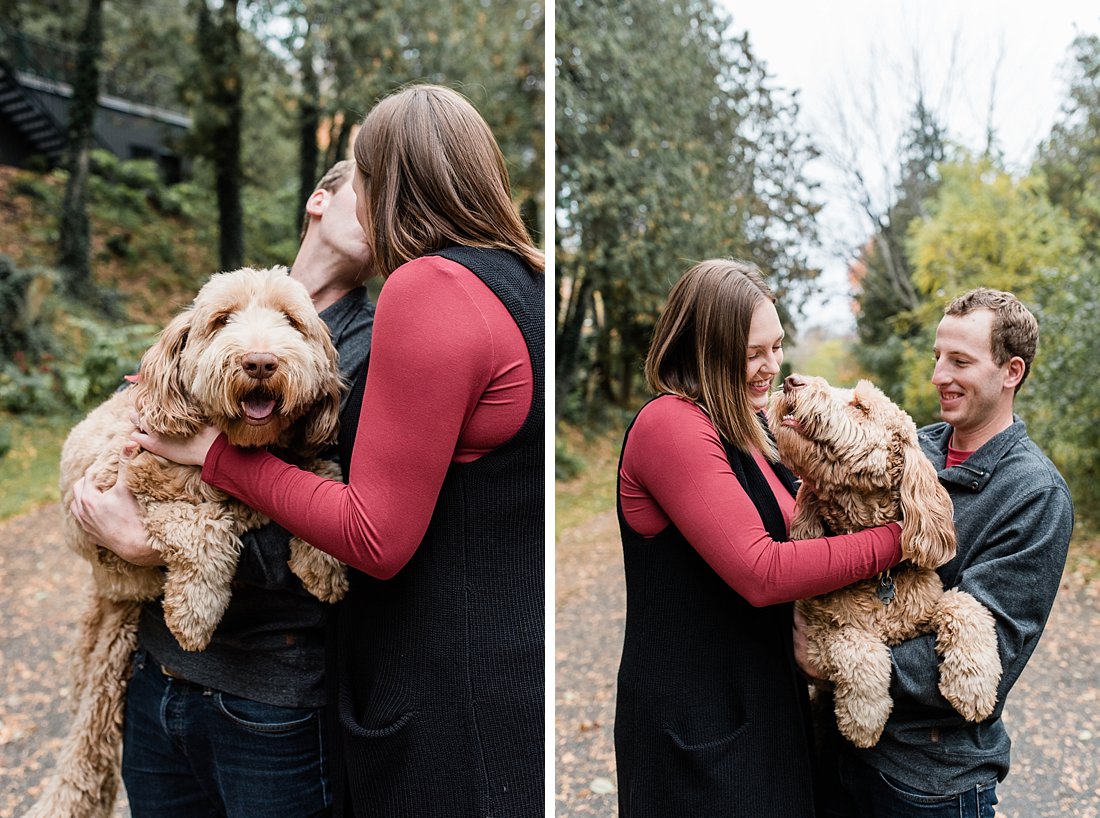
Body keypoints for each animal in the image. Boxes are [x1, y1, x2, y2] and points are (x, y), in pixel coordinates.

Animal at [27, 268, 347, 818]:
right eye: (221, 320)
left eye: (290, 321)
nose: (260, 362)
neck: (236, 447)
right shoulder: (122, 487)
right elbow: (204, 529)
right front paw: (194, 614)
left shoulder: (298, 464)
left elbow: (322, 479)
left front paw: (324, 564)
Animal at [770, 376, 1003, 747]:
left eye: (860, 406)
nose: (793, 381)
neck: (881, 577)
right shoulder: (814, 635)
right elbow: (856, 644)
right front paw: (864, 717)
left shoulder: (926, 607)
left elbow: (964, 604)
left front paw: (974, 684)